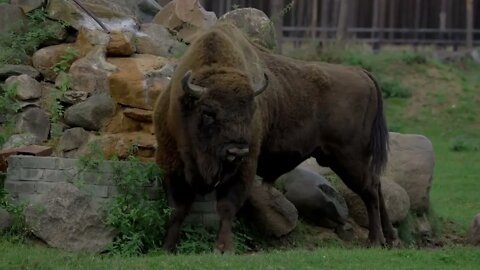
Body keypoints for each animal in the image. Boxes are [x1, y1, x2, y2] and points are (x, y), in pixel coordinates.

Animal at [153, 21, 394, 253]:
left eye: (251, 111)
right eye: (208, 113)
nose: (236, 151)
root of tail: (361, 73)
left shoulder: (244, 167)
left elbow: (226, 207)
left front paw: (223, 249)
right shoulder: (172, 165)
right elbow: (177, 210)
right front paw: (167, 247)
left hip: (349, 158)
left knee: (370, 191)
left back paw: (375, 240)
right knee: (376, 186)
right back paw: (391, 239)